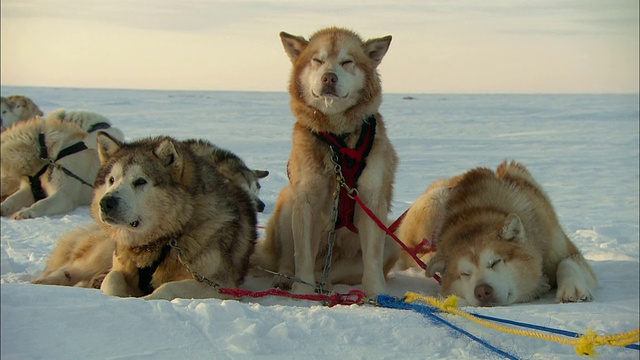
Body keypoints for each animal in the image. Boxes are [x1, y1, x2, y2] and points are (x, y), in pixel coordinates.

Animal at [93, 133, 258, 300]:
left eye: (140, 181)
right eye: (111, 180)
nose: (105, 203)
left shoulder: (220, 285)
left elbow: (168, 287)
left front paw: (145, 300)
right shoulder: (121, 267)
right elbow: (112, 279)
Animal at [255, 28, 400, 296]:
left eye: (347, 62)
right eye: (318, 60)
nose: (329, 78)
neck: (338, 140)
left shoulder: (372, 199)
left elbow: (372, 259)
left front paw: (378, 294)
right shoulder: (307, 198)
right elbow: (302, 254)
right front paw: (301, 293)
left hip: (391, 237)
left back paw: (328, 284)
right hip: (288, 204)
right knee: (287, 259)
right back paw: (288, 279)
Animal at [420, 162, 600, 306]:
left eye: (495, 262)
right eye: (464, 274)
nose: (482, 291)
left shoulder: (559, 246)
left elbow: (567, 261)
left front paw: (571, 288)